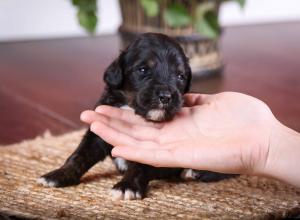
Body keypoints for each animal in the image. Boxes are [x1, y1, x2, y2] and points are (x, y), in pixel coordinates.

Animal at [37, 33, 234, 200]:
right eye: (143, 69)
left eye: (180, 75)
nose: (166, 96)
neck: (131, 108)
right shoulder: (98, 130)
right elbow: (79, 154)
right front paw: (58, 175)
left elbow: (139, 164)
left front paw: (127, 186)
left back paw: (194, 172)